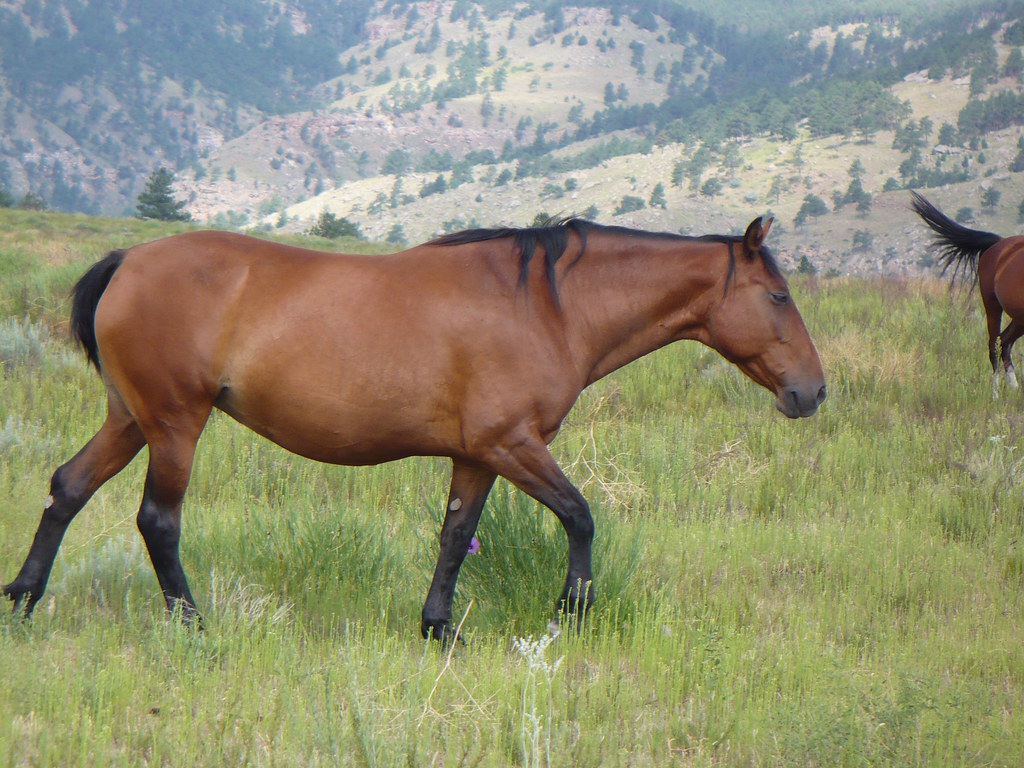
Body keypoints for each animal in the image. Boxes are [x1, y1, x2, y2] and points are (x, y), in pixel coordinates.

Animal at [3, 215, 826, 642]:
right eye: (779, 296)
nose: (812, 391)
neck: (545, 304)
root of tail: (127, 260)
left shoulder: (479, 455)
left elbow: (455, 536)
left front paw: (438, 627)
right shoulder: (513, 444)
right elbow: (580, 516)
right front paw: (572, 610)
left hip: (131, 420)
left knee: (66, 488)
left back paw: (23, 599)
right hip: (175, 424)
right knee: (158, 520)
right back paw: (193, 623)